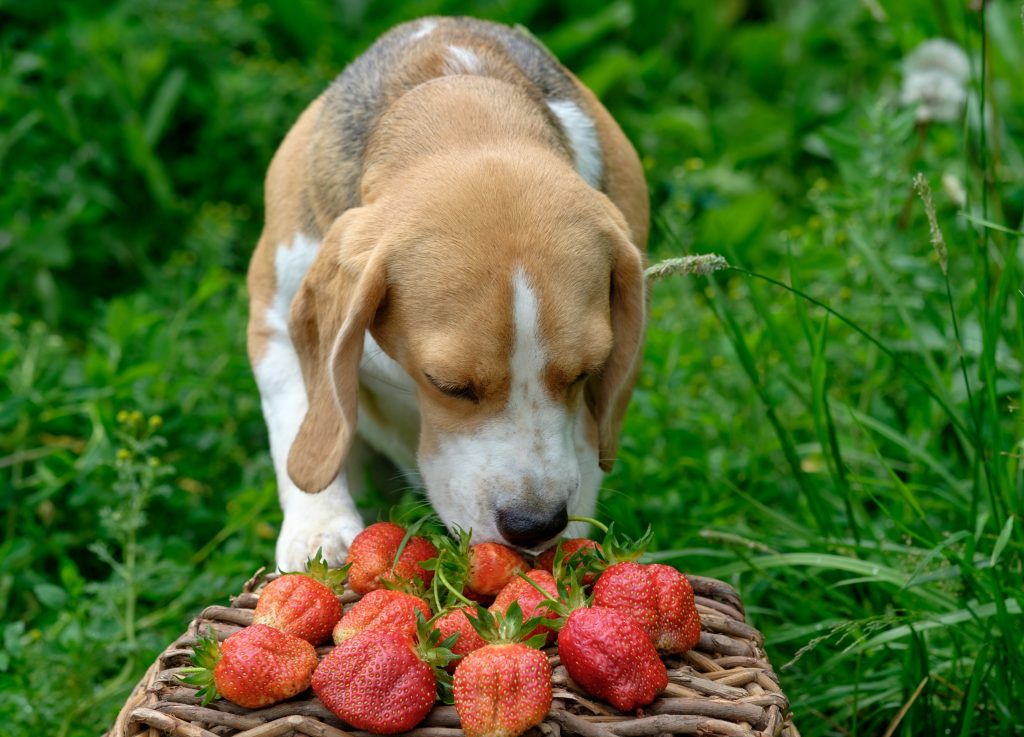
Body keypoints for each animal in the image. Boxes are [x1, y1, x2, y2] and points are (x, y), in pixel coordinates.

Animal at [245, 15, 647, 569]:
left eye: (586, 373)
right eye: (449, 386)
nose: (536, 525)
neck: (462, 107)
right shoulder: (274, 317)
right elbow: (299, 413)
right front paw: (319, 530)